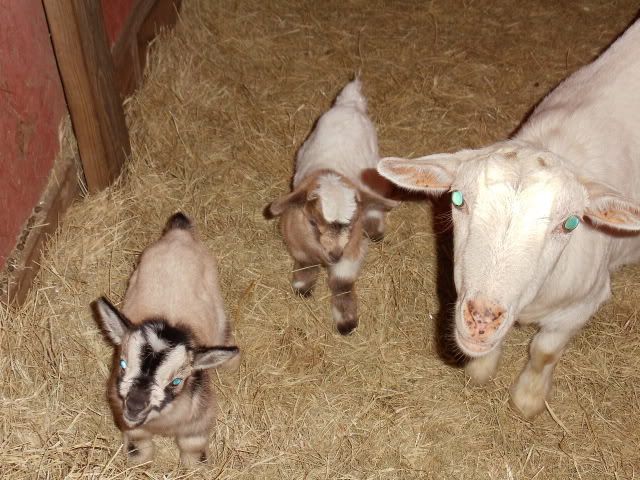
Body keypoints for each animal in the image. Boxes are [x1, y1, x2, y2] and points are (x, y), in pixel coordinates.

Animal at [91, 212, 239, 465]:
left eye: (177, 381)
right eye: (122, 363)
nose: (135, 405)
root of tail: (179, 234)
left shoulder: (200, 418)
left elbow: (193, 445)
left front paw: (197, 465)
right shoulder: (124, 414)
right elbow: (138, 444)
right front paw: (137, 459)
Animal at [266, 78, 398, 334]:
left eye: (353, 223)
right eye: (311, 221)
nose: (335, 254)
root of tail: (349, 103)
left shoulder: (351, 252)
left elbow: (342, 283)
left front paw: (346, 322)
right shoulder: (297, 243)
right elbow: (305, 265)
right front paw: (302, 288)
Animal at [378, 20, 640, 418]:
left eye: (570, 224)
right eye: (457, 199)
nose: (481, 319)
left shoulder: (584, 303)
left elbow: (544, 350)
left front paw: (528, 398)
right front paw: (481, 369)